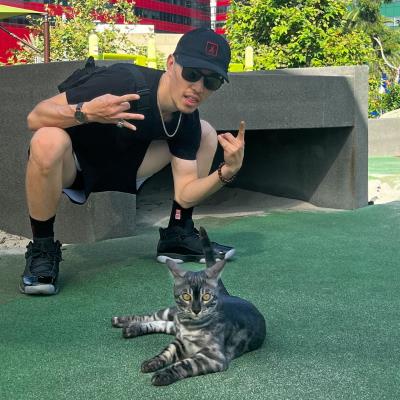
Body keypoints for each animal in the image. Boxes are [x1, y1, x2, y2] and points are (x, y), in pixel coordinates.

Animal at [112, 227, 266, 386]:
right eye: (186, 296)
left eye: (206, 297)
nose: (196, 310)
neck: (190, 327)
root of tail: (227, 295)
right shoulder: (180, 342)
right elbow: (165, 352)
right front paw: (152, 362)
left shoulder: (213, 357)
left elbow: (185, 364)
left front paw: (163, 374)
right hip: (172, 312)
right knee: (154, 316)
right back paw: (122, 321)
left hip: (175, 324)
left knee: (163, 323)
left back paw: (130, 329)